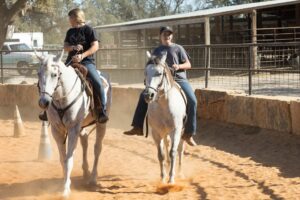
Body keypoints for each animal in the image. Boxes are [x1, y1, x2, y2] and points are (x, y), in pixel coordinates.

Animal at [37, 50, 111, 198]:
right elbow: (62, 160)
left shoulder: (72, 129)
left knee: (97, 148)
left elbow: (69, 160)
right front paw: (63, 183)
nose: (44, 102)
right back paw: (86, 172)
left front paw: (66, 189)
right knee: (85, 141)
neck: (62, 97)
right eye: (38, 74)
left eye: (54, 74)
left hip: (101, 125)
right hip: (81, 127)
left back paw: (93, 177)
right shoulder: (57, 130)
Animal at [144, 51, 186, 184]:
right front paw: (163, 177)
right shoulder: (156, 132)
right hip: (164, 133)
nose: (148, 95)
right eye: (145, 72)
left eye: (159, 73)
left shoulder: (176, 130)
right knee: (167, 146)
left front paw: (171, 178)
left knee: (180, 149)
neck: (164, 105)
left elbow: (173, 152)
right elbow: (161, 154)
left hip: (181, 132)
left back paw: (180, 172)